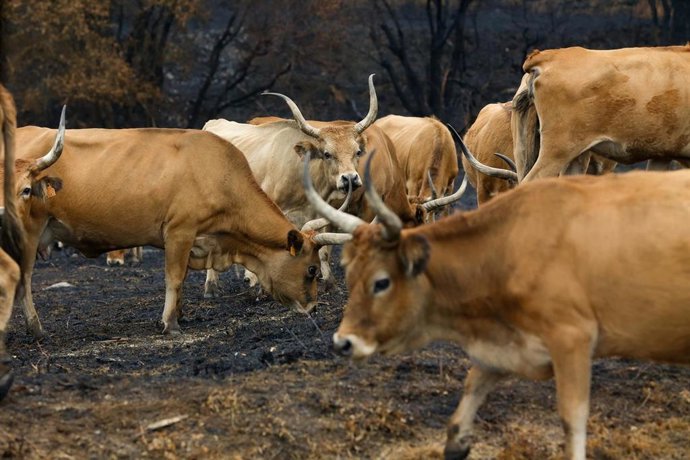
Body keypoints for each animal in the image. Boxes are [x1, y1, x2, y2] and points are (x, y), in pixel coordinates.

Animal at [12, 126, 348, 337]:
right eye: (311, 270)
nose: (312, 307)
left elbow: (183, 278)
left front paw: (182, 312)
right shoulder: (179, 231)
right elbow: (174, 278)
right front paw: (171, 322)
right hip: (27, 232)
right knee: (24, 279)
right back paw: (36, 328)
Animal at [303, 150, 690, 460]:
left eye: (381, 282)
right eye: (352, 276)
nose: (343, 342)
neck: (510, 245)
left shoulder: (573, 339)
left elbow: (572, 420)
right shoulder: (505, 343)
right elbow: (471, 388)